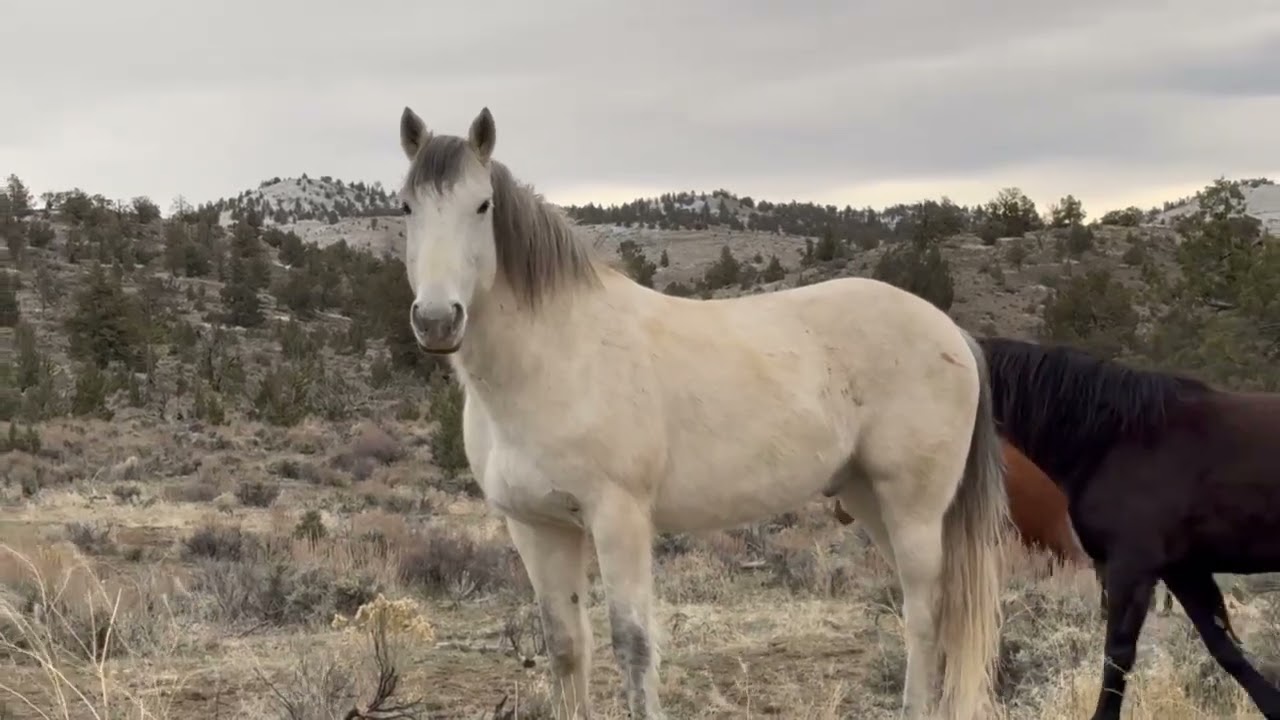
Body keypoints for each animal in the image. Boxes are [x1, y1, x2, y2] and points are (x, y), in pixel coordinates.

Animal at [394, 104, 1010, 720]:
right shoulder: (536, 527)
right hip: (867, 497)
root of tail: (951, 332)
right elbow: (566, 647)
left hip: (914, 509)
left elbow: (633, 645)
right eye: (406, 206)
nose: (437, 321)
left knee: (926, 617)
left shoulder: (618, 519)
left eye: (483, 205)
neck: (556, 357)